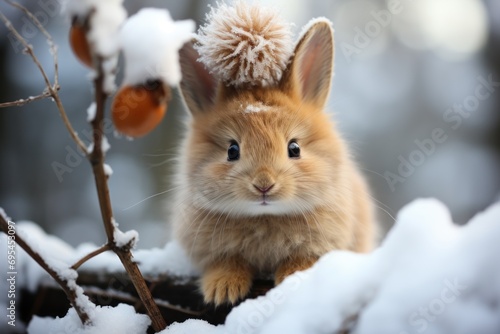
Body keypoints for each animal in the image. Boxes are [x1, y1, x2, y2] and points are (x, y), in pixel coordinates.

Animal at [174, 3, 374, 306]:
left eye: (294, 148)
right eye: (232, 150)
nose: (264, 185)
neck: (264, 217)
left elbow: (301, 261)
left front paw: (292, 280)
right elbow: (226, 263)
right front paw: (222, 290)